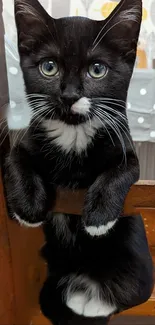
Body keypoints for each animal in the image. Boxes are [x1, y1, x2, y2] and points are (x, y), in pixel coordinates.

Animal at [4, 0, 154, 322]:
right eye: (49, 67)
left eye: (97, 70)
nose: (70, 95)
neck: (73, 133)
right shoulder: (29, 138)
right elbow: (14, 154)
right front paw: (27, 205)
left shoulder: (124, 144)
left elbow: (125, 168)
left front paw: (99, 215)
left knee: (131, 291)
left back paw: (93, 301)